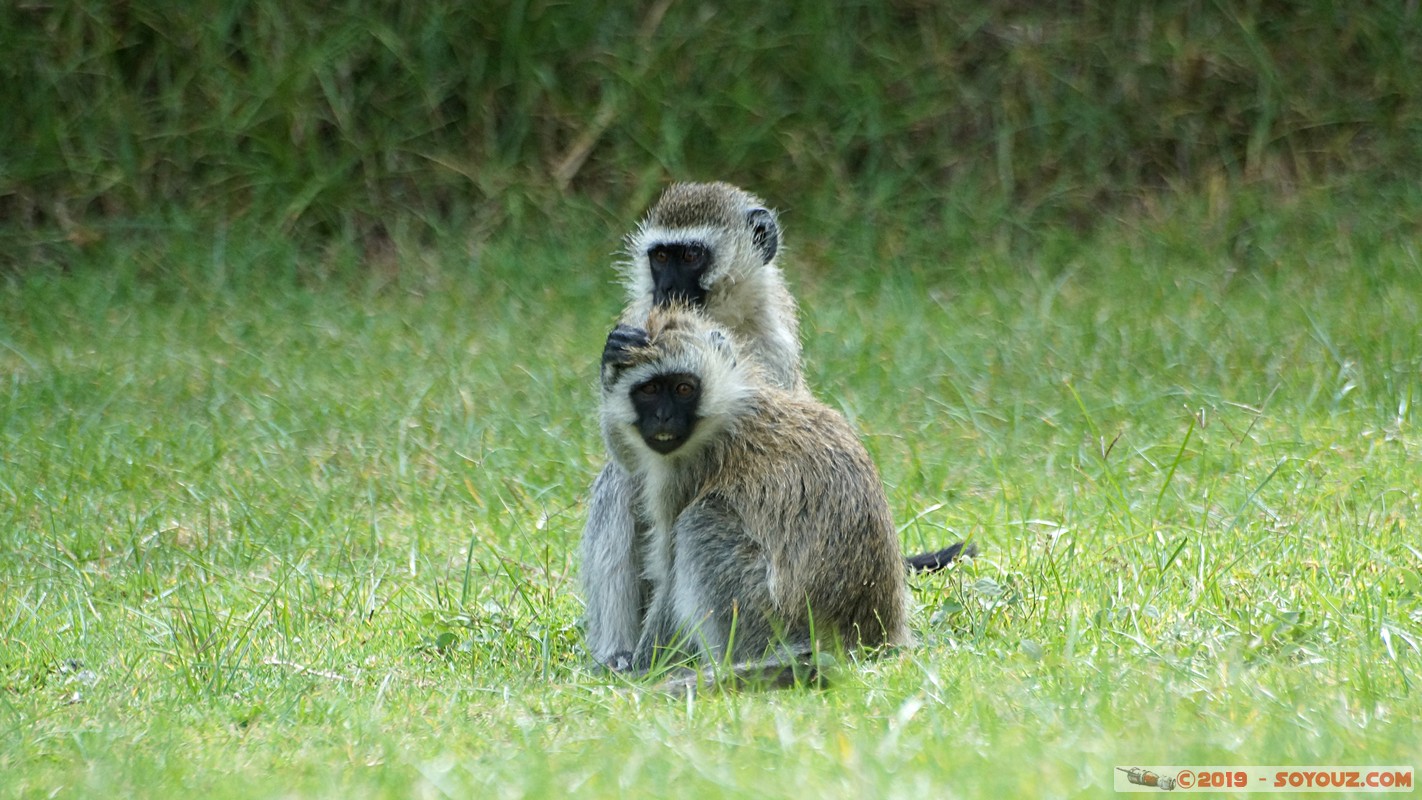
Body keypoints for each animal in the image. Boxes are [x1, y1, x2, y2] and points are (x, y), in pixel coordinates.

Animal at [598, 305, 911, 676]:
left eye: (683, 388)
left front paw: (641, 671)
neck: (724, 411)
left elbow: (668, 576)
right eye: (649, 390)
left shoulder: (685, 471)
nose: (663, 417)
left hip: (766, 621)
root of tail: (867, 638)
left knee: (700, 523)